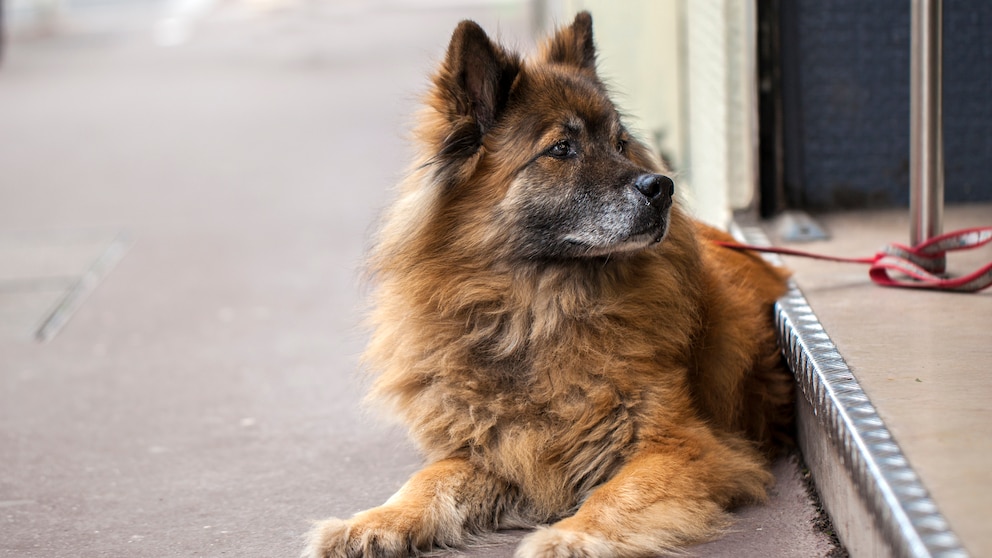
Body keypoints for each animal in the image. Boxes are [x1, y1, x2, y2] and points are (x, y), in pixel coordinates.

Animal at [306, 13, 796, 558]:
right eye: (562, 148)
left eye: (620, 143)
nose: (663, 187)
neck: (536, 311)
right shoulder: (491, 450)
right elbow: (427, 482)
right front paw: (372, 521)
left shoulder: (683, 446)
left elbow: (617, 494)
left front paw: (568, 537)